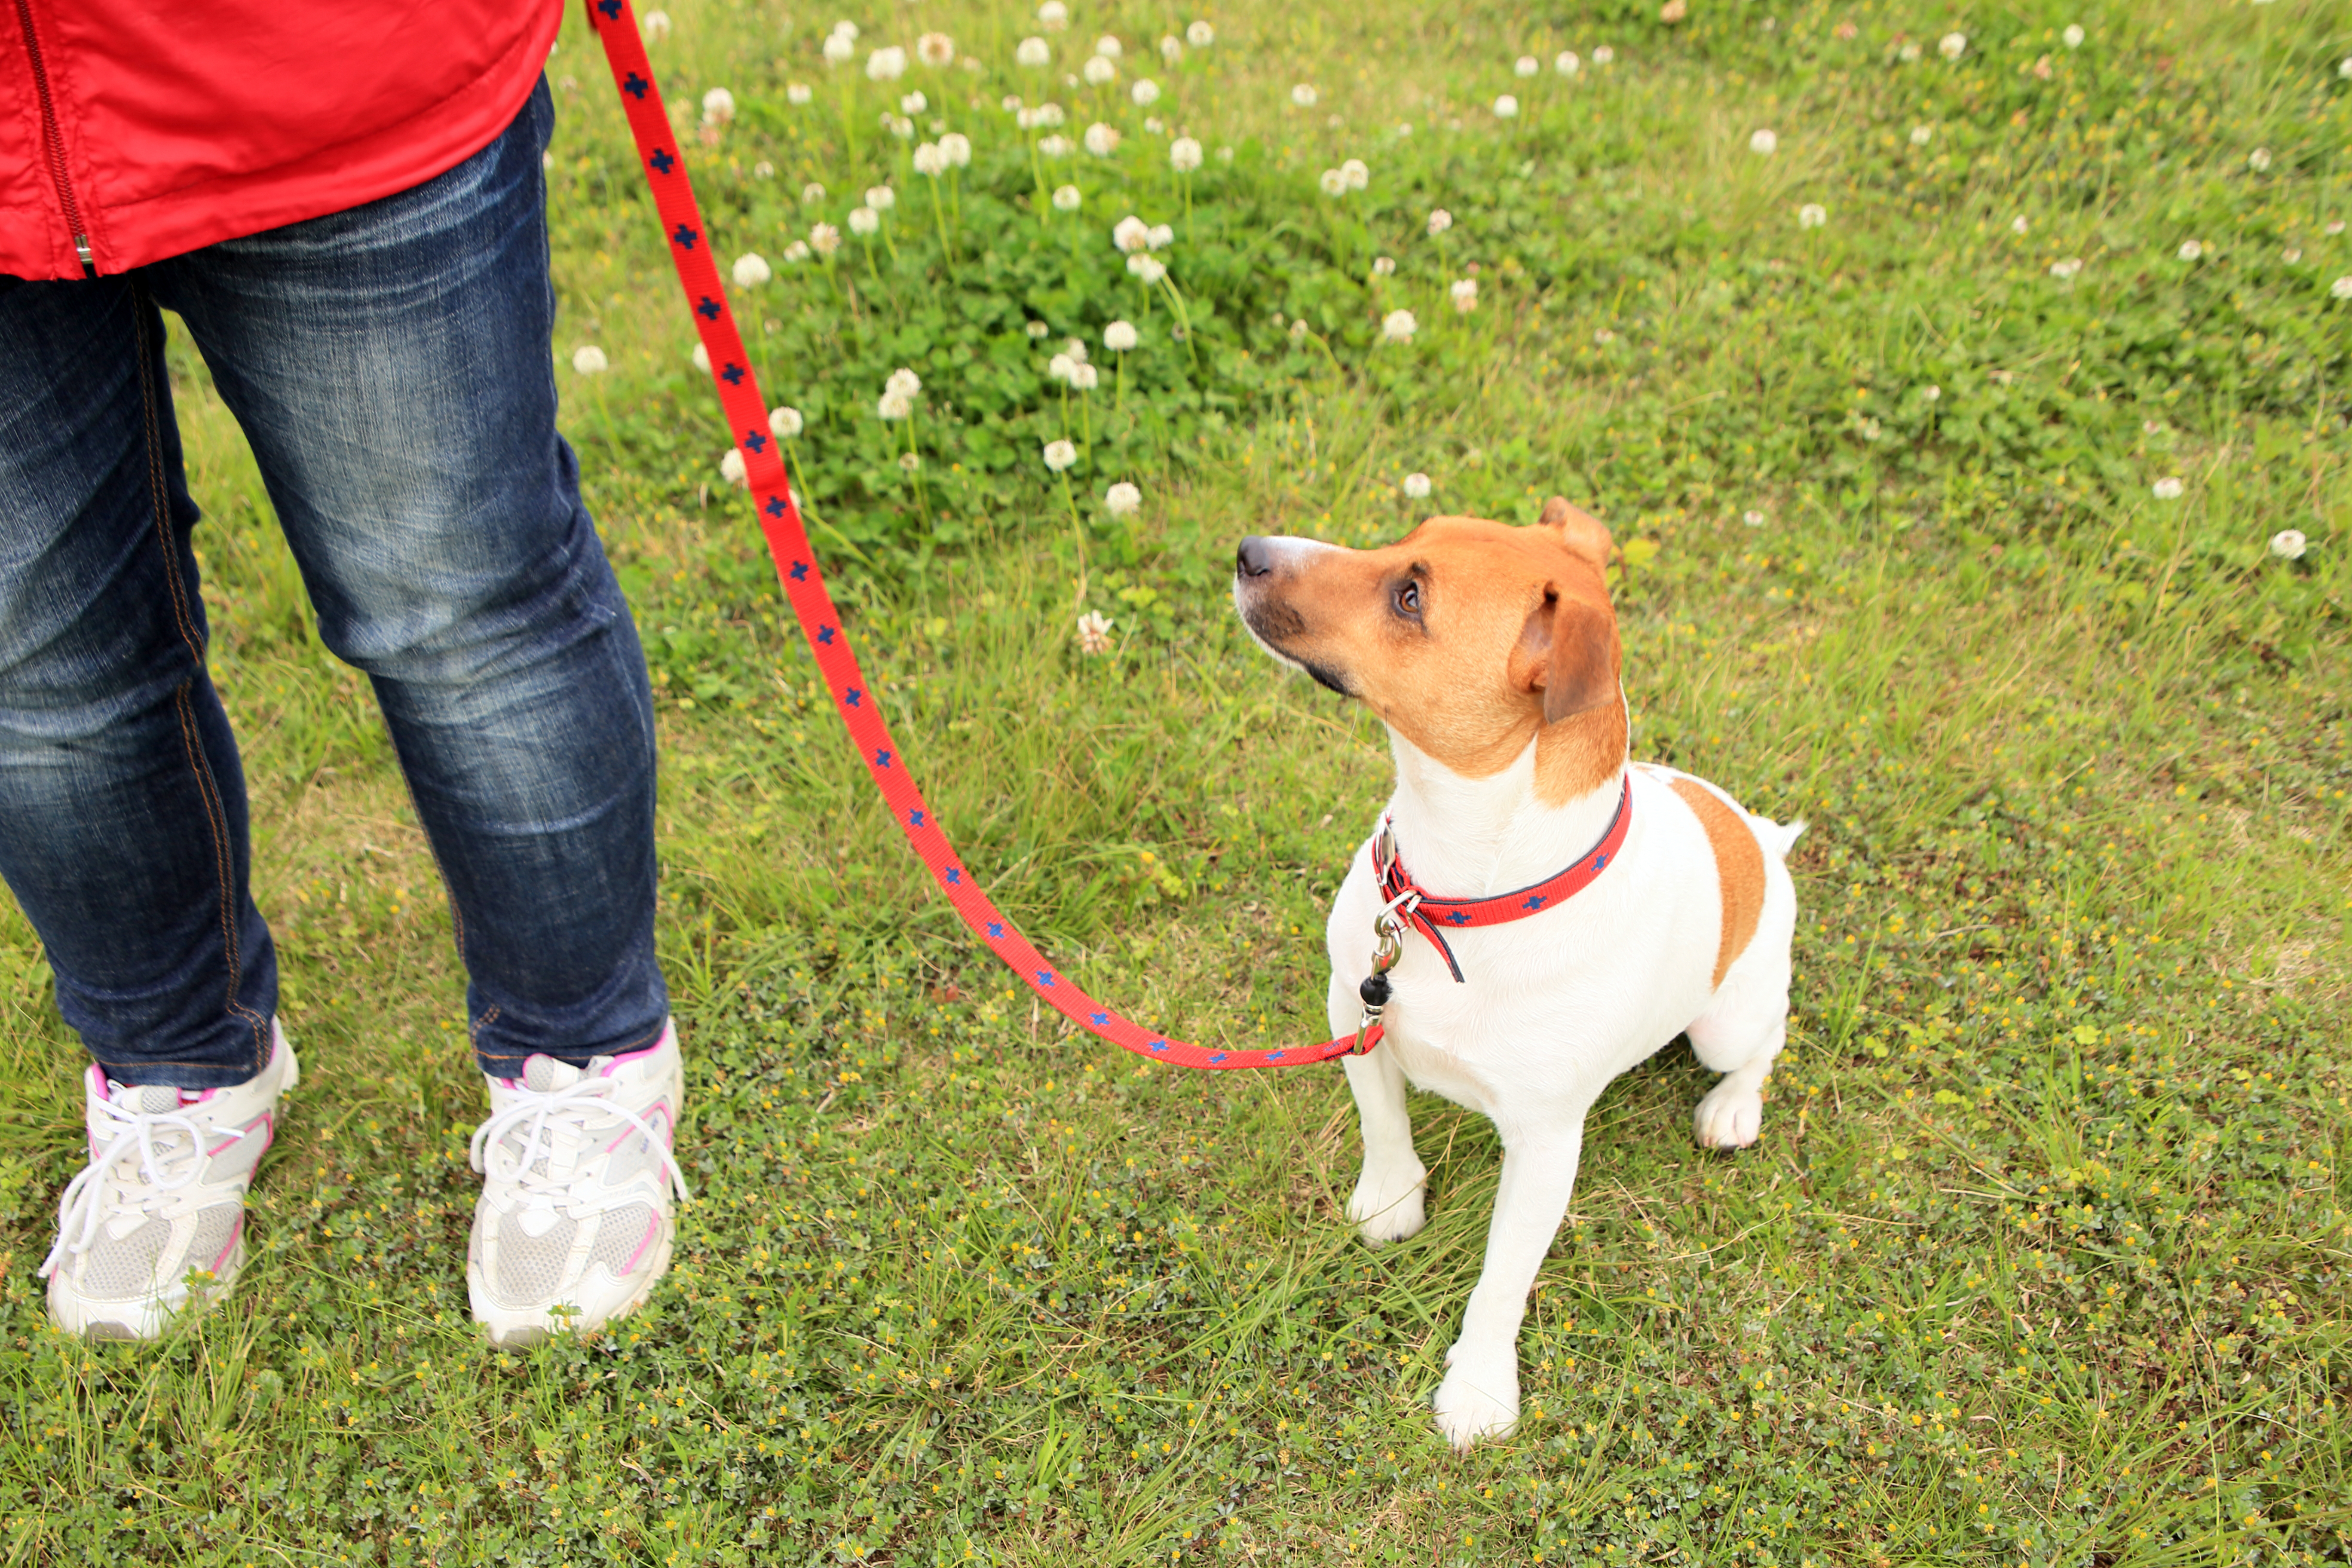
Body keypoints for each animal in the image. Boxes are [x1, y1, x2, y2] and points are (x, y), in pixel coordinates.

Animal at [1232, 496, 1797, 1457]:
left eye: (1410, 596)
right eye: (1402, 539)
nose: (1246, 550)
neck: (1458, 895)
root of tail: (1758, 837)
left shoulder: (1544, 1144)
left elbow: (1502, 1277)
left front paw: (1480, 1391)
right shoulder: (1355, 1008)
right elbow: (1383, 1123)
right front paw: (1391, 1203)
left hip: (1727, 1025)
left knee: (1765, 1042)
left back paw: (1732, 1110)